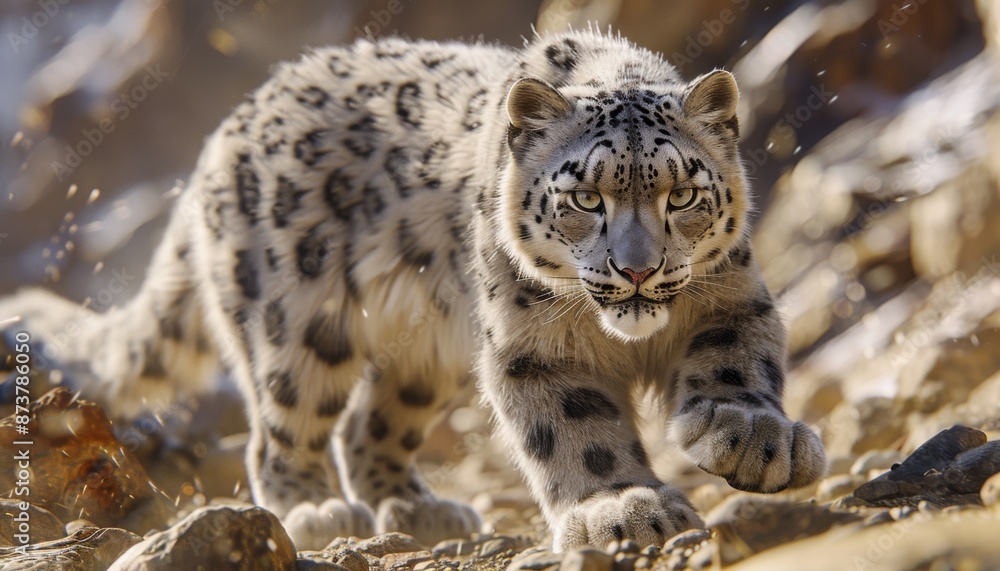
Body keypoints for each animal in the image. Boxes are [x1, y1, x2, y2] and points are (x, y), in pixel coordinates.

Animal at [0, 29, 825, 551]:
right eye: (585, 198)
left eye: (682, 195)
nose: (637, 270)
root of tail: (222, 133)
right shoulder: (532, 346)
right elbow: (576, 430)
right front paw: (621, 504)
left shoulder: (730, 296)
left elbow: (738, 362)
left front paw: (754, 437)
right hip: (299, 327)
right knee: (283, 430)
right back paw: (317, 509)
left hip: (425, 355)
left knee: (370, 424)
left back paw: (423, 509)